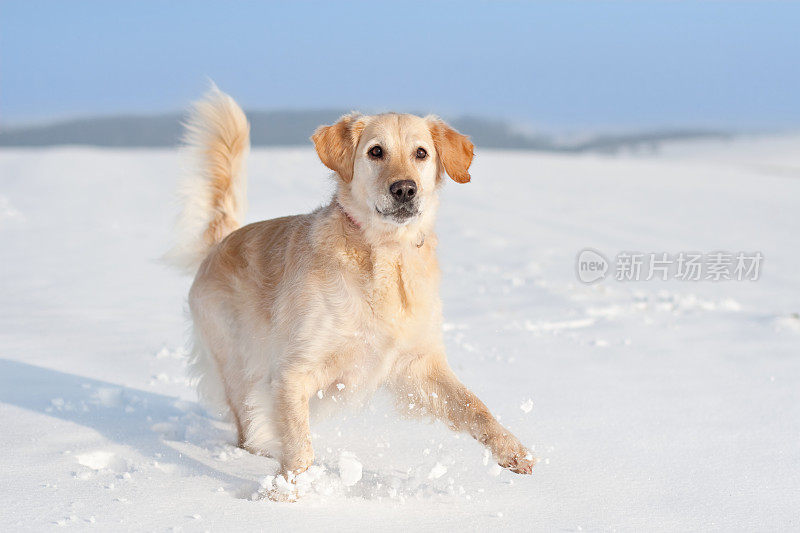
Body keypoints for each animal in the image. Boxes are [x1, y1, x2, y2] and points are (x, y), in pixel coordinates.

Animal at [166, 88, 536, 498]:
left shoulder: (417, 364)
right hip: (238, 366)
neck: (386, 253)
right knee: (248, 429)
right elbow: (300, 447)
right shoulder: (293, 371)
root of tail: (221, 242)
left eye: (421, 153)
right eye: (376, 151)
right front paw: (283, 493)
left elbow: (474, 406)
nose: (404, 189)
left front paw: (513, 451)